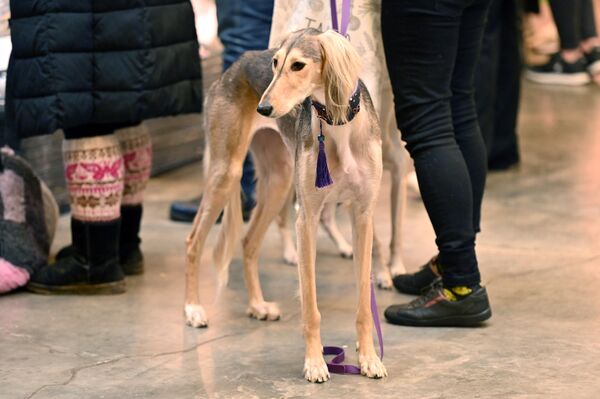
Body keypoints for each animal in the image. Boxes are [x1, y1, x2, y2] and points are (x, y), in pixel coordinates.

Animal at [185, 29, 386, 382]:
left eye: (298, 65)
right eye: (275, 63)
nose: (263, 107)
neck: (337, 124)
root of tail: (233, 65)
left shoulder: (363, 216)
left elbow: (364, 302)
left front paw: (369, 359)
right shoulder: (306, 218)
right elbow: (310, 305)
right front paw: (315, 363)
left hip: (278, 179)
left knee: (248, 242)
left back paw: (257, 305)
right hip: (226, 173)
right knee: (194, 240)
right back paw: (194, 309)